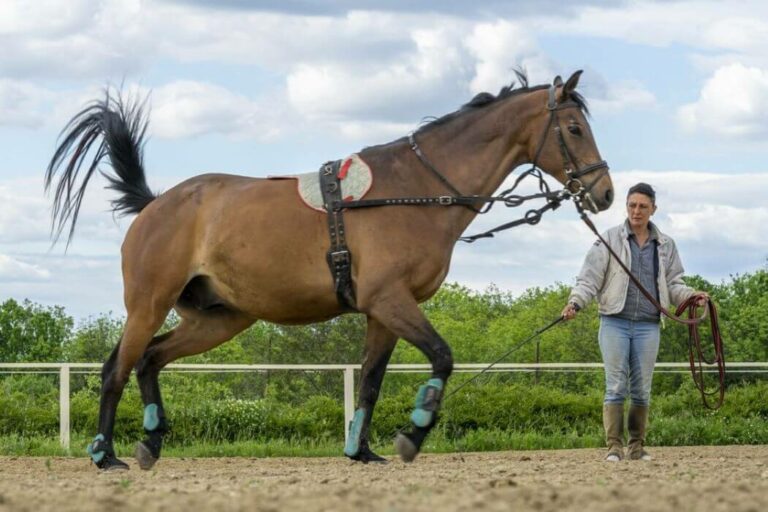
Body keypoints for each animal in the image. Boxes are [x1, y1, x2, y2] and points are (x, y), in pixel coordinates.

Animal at [45, 70, 613, 471]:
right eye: (574, 128)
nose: (604, 193)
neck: (414, 189)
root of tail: (157, 204)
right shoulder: (389, 300)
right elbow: (443, 357)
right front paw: (413, 433)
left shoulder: (382, 312)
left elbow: (370, 381)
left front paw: (361, 450)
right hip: (148, 304)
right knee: (117, 369)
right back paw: (105, 454)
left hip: (219, 318)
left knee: (150, 360)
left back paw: (151, 441)